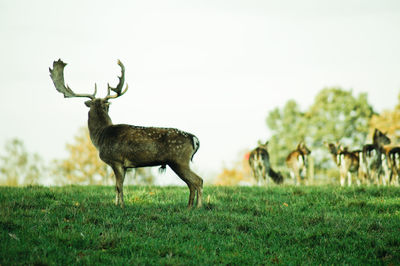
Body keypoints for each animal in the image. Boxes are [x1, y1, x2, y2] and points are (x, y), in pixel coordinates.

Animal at [49, 59, 203, 208]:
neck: (101, 136)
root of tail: (194, 139)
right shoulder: (123, 165)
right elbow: (116, 187)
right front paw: (116, 204)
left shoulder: (116, 160)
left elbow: (119, 186)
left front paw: (122, 206)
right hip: (178, 161)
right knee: (191, 184)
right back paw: (189, 206)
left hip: (179, 159)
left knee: (198, 181)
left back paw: (198, 206)